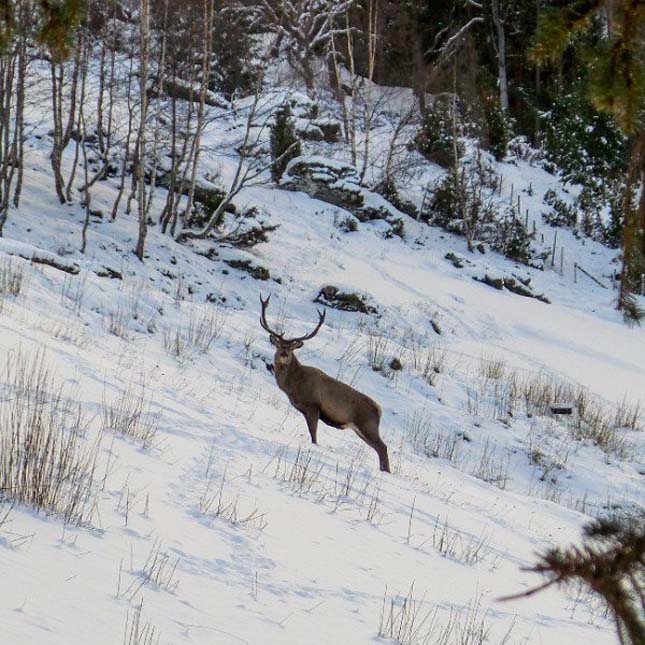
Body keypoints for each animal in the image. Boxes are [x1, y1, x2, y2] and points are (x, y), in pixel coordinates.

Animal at [260, 294, 390, 470]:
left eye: (292, 348)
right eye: (279, 345)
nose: (284, 354)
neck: (293, 386)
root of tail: (379, 410)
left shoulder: (314, 405)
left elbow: (314, 434)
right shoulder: (303, 410)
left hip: (368, 425)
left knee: (383, 447)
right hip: (361, 429)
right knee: (379, 449)